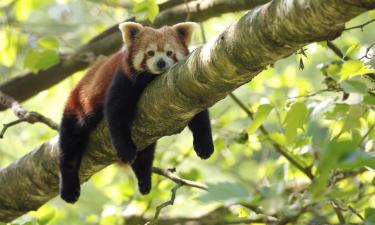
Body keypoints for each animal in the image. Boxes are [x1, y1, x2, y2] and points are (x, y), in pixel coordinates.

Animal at [60, 21, 216, 204]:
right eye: (150, 53)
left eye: (169, 53)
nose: (161, 63)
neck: (151, 78)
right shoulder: (124, 78)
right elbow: (116, 114)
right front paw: (126, 150)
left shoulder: (186, 87)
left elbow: (199, 116)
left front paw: (204, 145)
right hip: (77, 107)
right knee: (70, 144)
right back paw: (69, 188)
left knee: (146, 153)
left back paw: (144, 178)